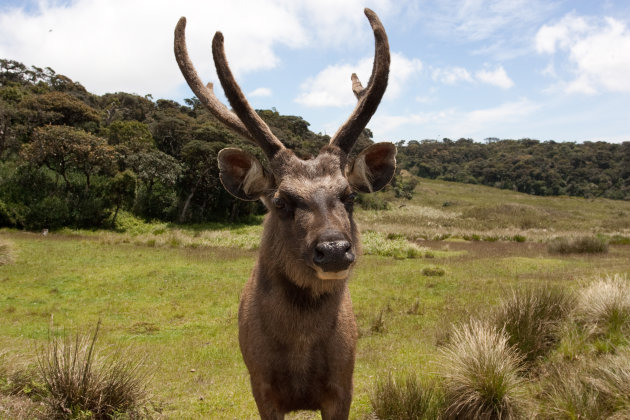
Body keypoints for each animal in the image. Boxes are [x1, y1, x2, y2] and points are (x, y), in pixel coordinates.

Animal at [174, 7, 396, 420]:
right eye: (280, 201)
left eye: (349, 196)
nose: (334, 249)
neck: (299, 358)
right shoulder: (260, 386)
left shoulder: (344, 384)